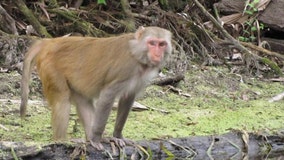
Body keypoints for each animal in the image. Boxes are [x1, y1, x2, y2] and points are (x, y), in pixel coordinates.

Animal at [20, 26, 172, 150]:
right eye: (152, 43)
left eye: (162, 44)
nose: (157, 54)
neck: (137, 53)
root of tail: (51, 42)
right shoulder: (126, 69)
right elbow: (108, 95)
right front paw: (96, 138)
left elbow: (127, 98)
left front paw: (117, 136)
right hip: (51, 68)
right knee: (62, 101)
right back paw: (63, 140)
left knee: (83, 101)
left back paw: (92, 138)